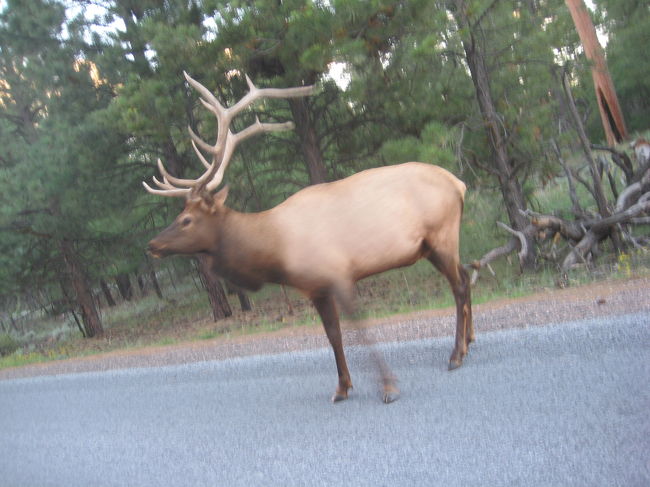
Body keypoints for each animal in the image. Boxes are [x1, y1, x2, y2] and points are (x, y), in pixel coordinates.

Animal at [144, 72, 474, 406]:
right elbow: (333, 334)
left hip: (442, 235)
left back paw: (455, 354)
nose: (152, 245)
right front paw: (342, 387)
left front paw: (388, 386)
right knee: (466, 273)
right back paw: (468, 342)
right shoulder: (315, 288)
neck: (275, 252)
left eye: (186, 219)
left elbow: (359, 327)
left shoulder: (338, 275)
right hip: (433, 246)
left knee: (459, 284)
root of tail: (459, 184)